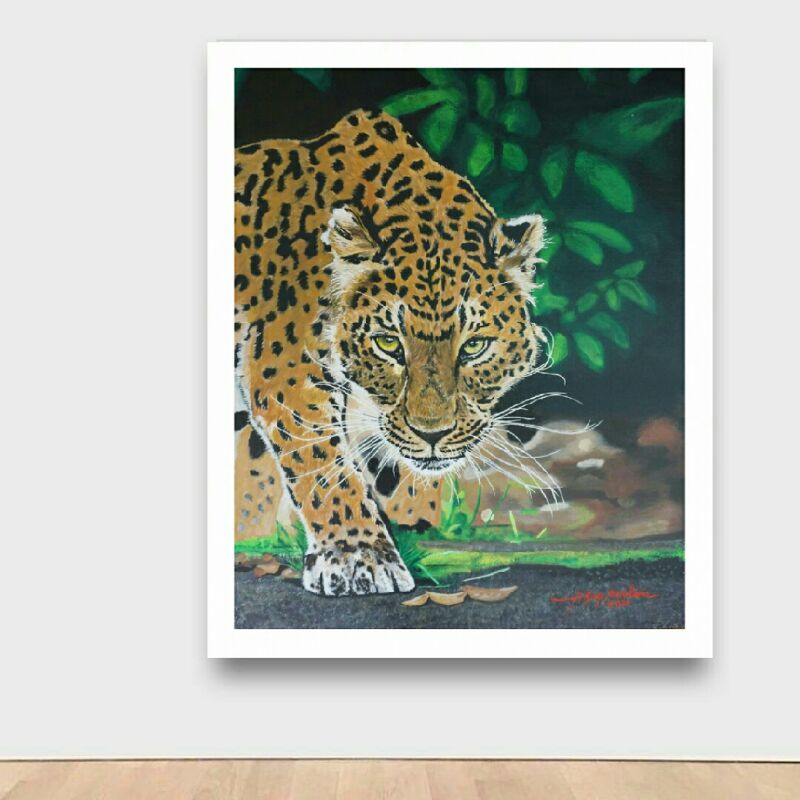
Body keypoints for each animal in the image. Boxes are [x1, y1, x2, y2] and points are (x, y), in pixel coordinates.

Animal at [234, 108, 548, 596]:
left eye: (474, 346)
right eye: (388, 343)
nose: (433, 435)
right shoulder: (285, 369)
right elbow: (324, 466)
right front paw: (357, 555)